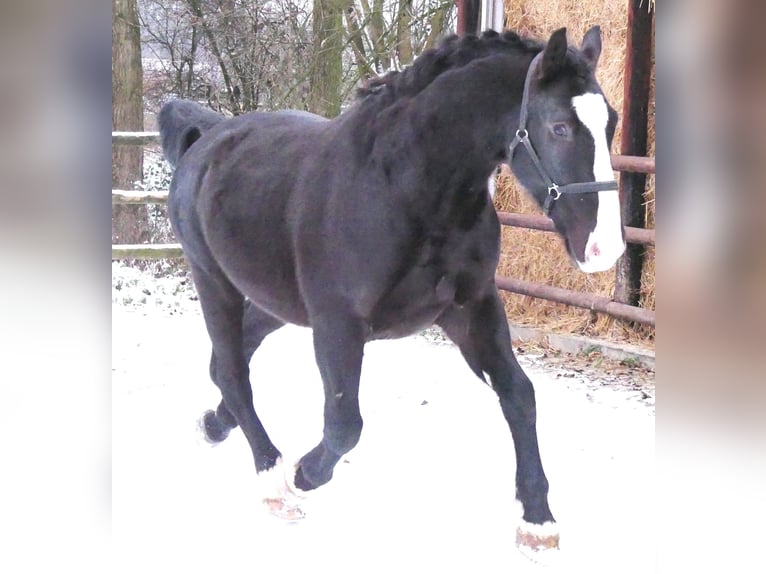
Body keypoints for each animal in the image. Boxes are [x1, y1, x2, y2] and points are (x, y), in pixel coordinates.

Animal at [158, 26, 624, 557]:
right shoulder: (338, 324)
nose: (604, 248)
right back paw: (273, 477)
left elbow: (519, 395)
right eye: (560, 127)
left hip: (279, 301)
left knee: (231, 360)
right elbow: (345, 426)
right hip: (213, 281)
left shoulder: (472, 308)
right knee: (235, 373)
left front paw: (537, 520)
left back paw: (214, 425)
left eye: (611, 123)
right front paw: (302, 475)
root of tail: (207, 138)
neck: (404, 189)